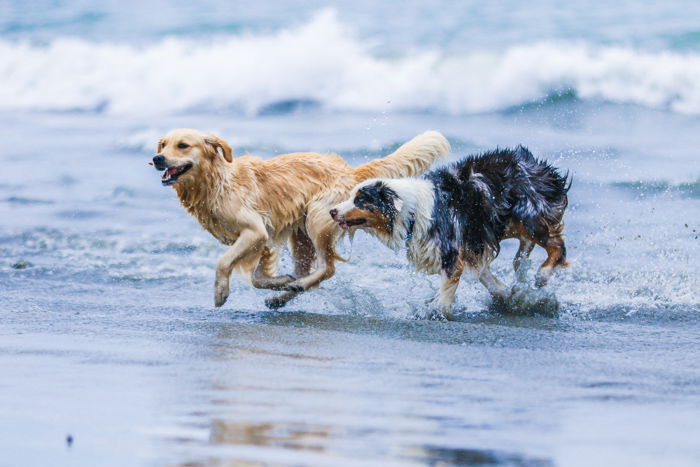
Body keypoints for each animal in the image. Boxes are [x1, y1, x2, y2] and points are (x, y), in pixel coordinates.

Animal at [330, 144, 572, 316]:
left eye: (360, 200)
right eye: (350, 196)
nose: (332, 211)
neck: (412, 211)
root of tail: (540, 167)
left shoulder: (452, 252)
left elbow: (446, 293)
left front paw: (438, 311)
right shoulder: (471, 246)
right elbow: (486, 277)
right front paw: (507, 295)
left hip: (530, 216)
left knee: (557, 246)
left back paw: (542, 275)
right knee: (523, 251)